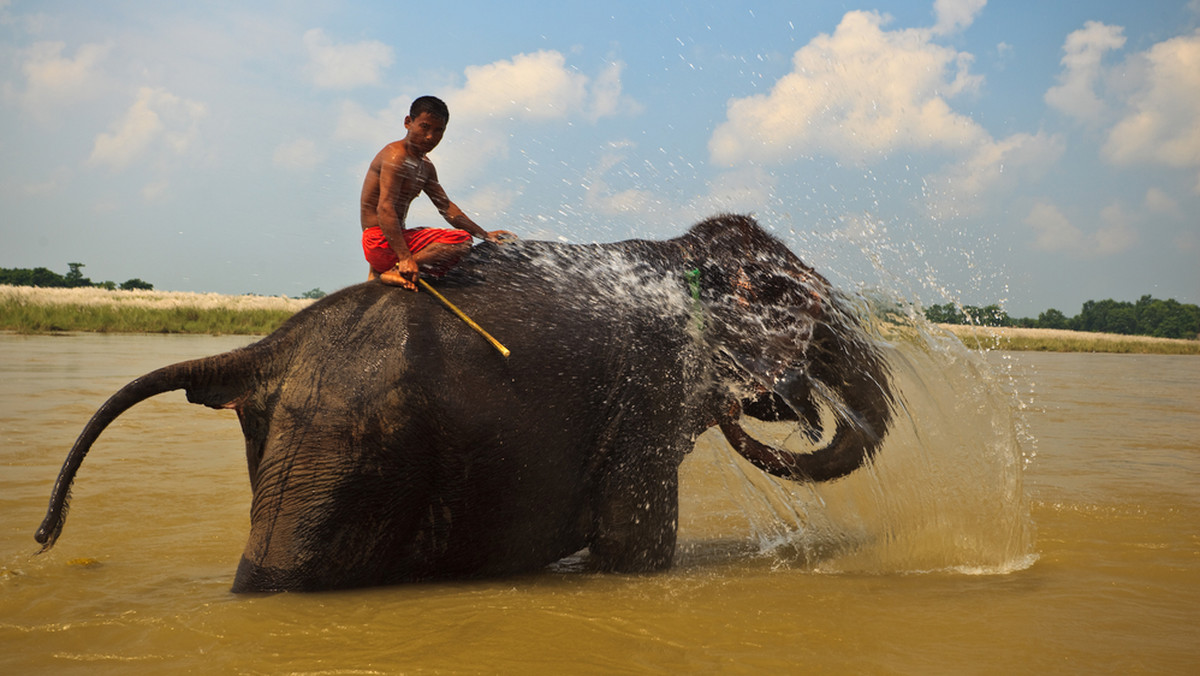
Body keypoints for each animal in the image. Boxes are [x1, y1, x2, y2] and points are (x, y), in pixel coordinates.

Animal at [35, 213, 892, 590]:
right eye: (809, 309)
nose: (799, 400)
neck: (679, 254)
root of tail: (270, 347)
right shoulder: (647, 390)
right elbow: (635, 550)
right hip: (341, 446)